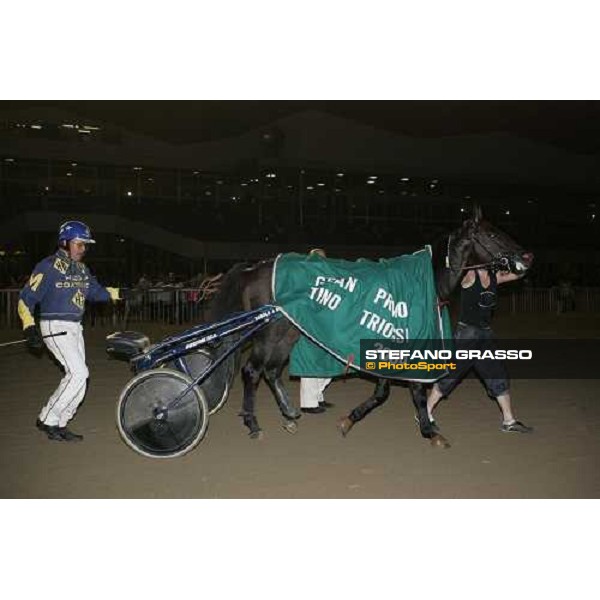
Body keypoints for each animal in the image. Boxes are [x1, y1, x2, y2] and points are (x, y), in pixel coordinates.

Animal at [207, 206, 536, 446]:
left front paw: (350, 419)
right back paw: (253, 424)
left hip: (289, 332)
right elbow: (409, 392)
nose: (527, 256)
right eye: (492, 234)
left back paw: (288, 415)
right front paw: (430, 431)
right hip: (269, 333)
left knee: (272, 371)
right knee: (252, 371)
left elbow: (384, 391)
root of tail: (254, 267)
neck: (422, 283)